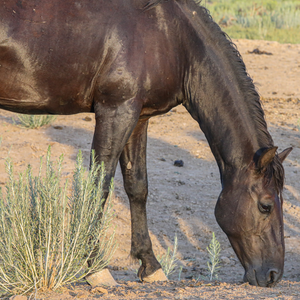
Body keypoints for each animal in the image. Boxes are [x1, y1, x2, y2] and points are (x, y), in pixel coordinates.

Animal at [0, 0, 290, 288]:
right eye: (265, 205)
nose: (273, 275)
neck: (174, 37)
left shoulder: (139, 117)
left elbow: (137, 186)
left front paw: (150, 265)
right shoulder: (116, 110)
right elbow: (100, 185)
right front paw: (96, 268)